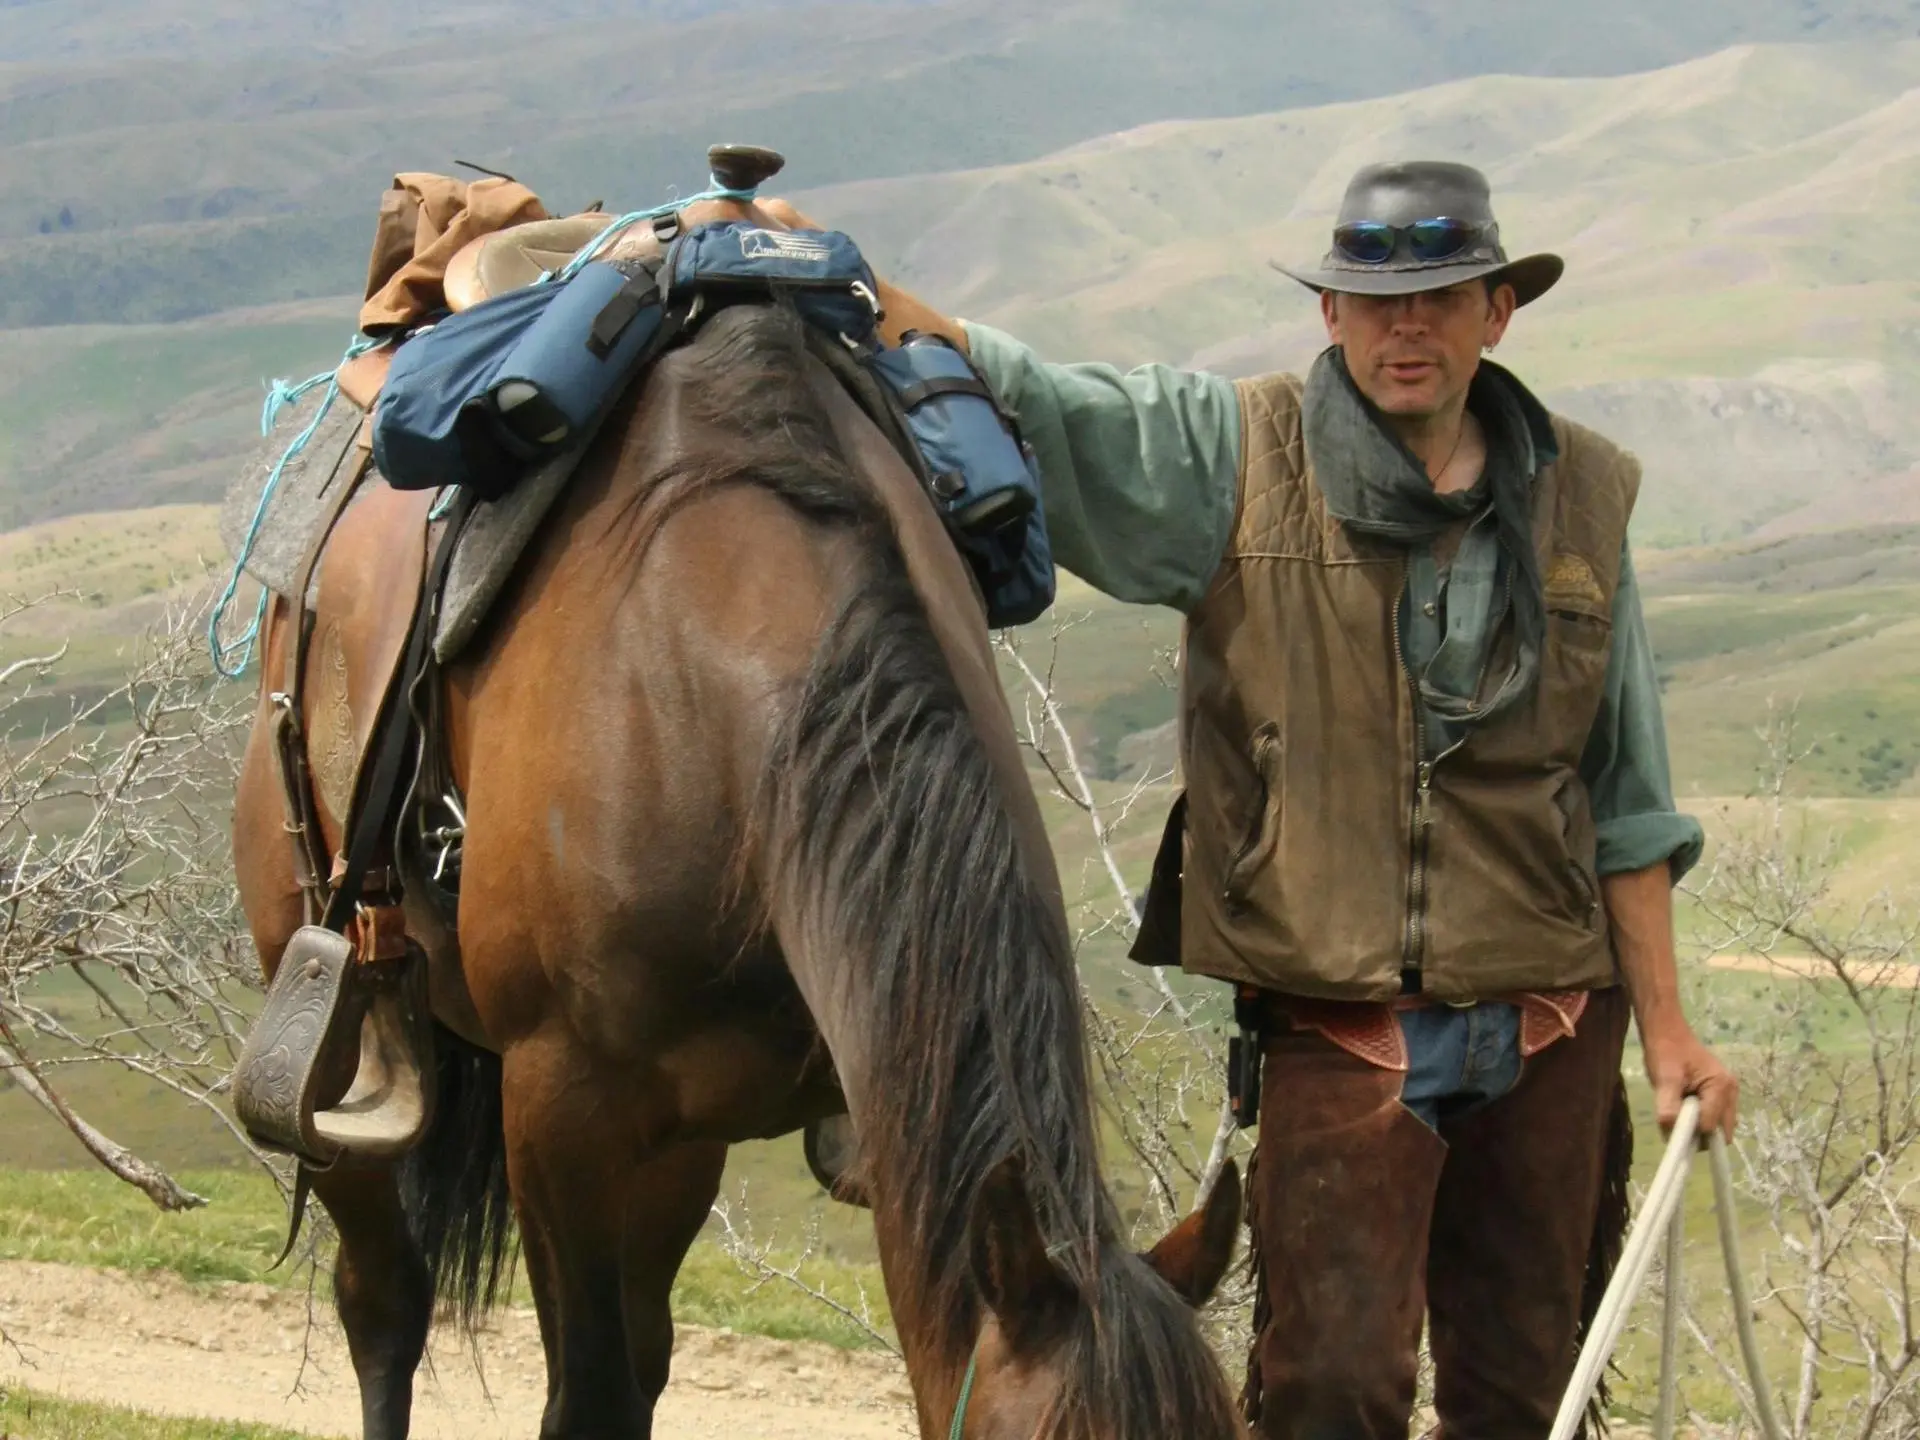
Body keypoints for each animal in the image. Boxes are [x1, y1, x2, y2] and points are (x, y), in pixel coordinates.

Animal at [228, 242, 1244, 1436]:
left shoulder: (688, 1128)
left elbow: (644, 1369)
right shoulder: (560, 1108)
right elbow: (589, 1395)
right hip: (328, 1007)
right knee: (382, 1300)